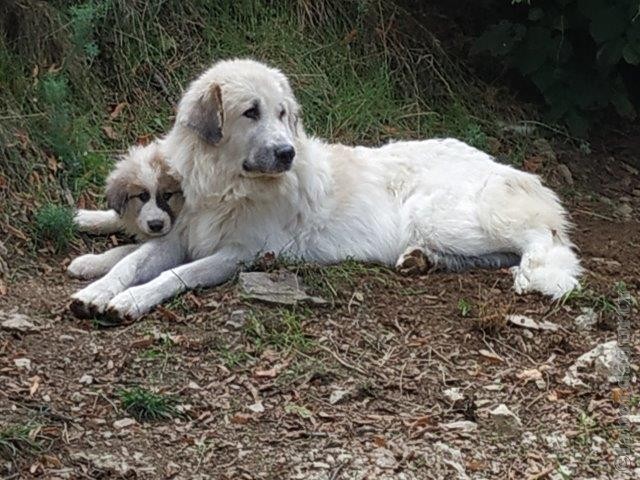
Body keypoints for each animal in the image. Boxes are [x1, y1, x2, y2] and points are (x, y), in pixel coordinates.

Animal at [67, 141, 182, 280]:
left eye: (167, 195)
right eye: (142, 196)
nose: (156, 225)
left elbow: (123, 251)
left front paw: (88, 263)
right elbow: (116, 217)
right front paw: (83, 217)